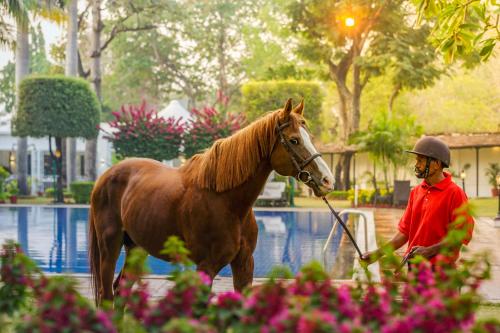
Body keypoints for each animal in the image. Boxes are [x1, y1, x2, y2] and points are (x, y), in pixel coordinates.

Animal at [88, 98, 334, 304]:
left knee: (121, 289)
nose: (327, 180)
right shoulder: (206, 267)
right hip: (110, 246)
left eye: (310, 138)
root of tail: (105, 176)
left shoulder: (245, 264)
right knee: (106, 293)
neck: (227, 202)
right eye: (294, 140)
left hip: (136, 247)